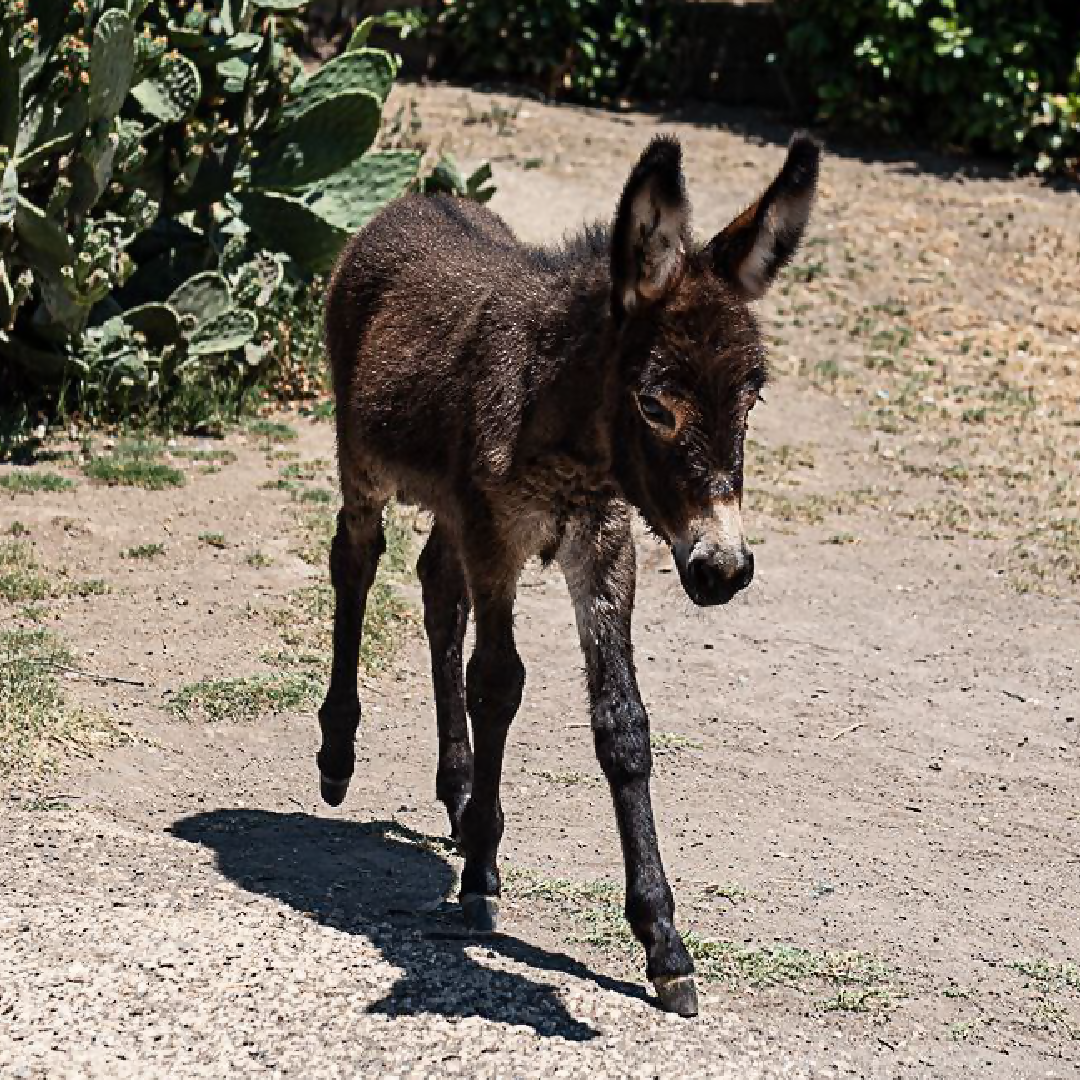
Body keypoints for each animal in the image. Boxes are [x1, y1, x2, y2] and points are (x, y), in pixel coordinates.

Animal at [315, 130, 820, 1015]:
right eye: (655, 405)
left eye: (751, 401)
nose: (723, 569)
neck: (570, 438)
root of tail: (419, 197)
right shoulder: (498, 538)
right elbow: (497, 683)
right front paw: (481, 878)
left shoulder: (604, 548)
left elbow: (623, 723)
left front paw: (663, 941)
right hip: (363, 464)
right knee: (357, 563)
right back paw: (340, 755)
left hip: (451, 509)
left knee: (437, 590)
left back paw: (458, 789)